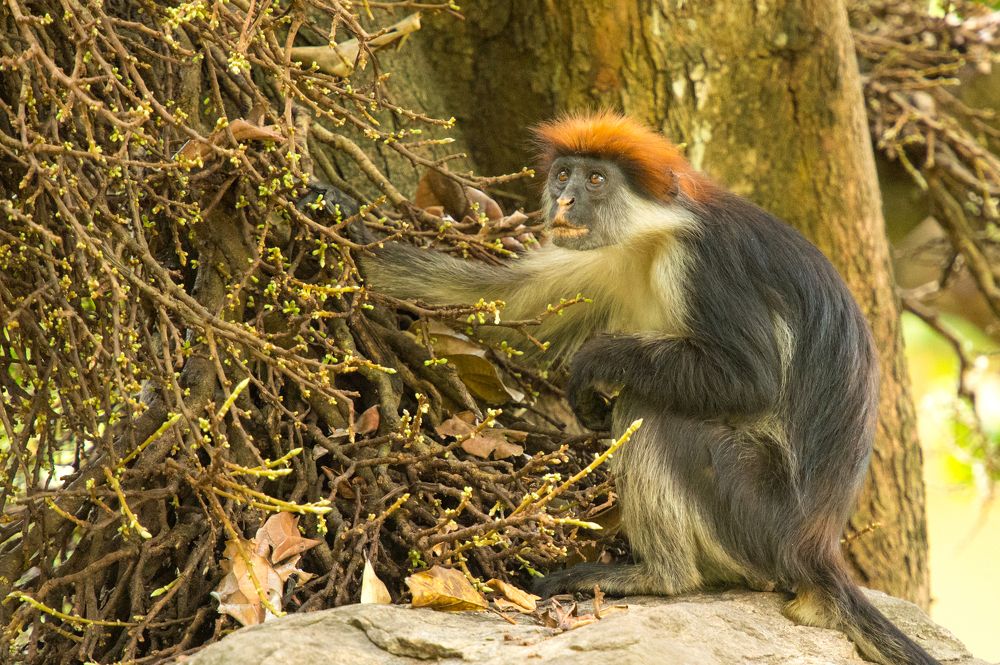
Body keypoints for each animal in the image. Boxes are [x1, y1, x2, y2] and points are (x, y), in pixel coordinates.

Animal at [360, 111, 938, 665]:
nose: (565, 200)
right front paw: (344, 228)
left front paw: (595, 364)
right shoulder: (605, 254)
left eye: (596, 180)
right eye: (564, 174)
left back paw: (660, 578)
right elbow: (505, 309)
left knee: (652, 407)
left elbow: (749, 380)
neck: (654, 236)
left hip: (757, 515)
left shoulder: (704, 261)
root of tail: (816, 548)